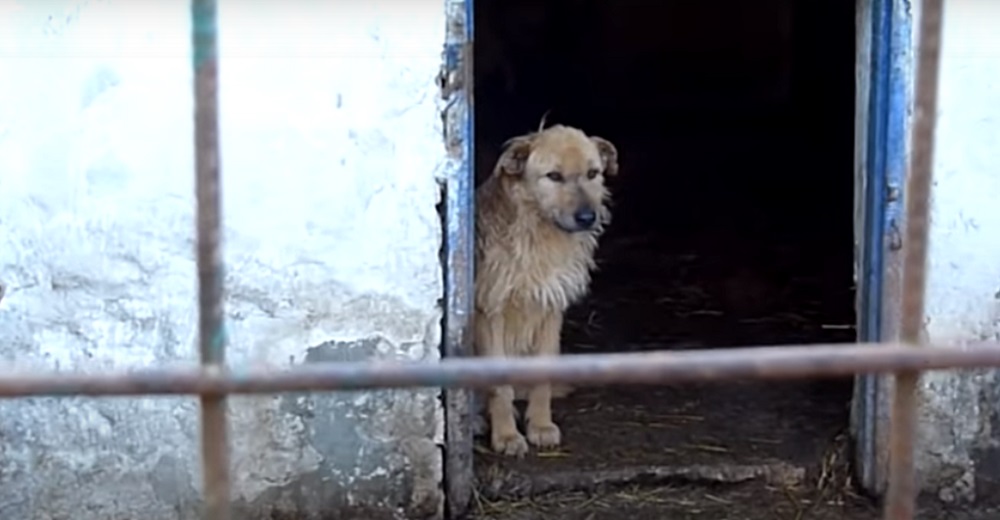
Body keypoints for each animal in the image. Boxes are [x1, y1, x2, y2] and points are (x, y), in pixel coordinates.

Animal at [470, 122, 616, 456]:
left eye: (593, 173)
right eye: (554, 176)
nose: (587, 218)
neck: (538, 232)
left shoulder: (550, 308)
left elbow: (543, 375)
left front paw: (540, 425)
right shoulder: (490, 311)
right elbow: (499, 385)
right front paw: (507, 436)